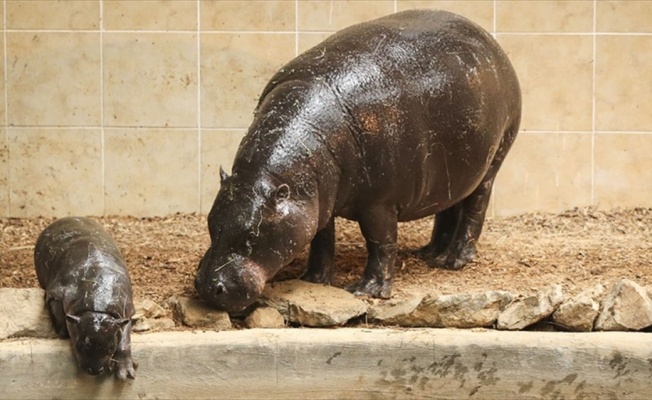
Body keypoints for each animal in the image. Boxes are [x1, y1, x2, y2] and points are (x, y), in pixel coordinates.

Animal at [34, 217, 136, 380]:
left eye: (110, 347)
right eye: (80, 346)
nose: (94, 371)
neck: (98, 308)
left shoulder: (126, 310)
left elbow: (125, 338)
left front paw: (125, 373)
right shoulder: (56, 293)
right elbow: (60, 315)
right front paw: (62, 332)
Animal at [194, 9, 520, 312]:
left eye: (252, 236)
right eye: (211, 223)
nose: (209, 287)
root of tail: (493, 43)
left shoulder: (379, 204)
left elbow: (381, 243)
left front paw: (367, 291)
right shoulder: (317, 199)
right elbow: (320, 240)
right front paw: (312, 280)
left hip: (493, 161)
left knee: (475, 209)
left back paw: (455, 260)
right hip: (454, 170)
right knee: (449, 206)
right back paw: (431, 254)